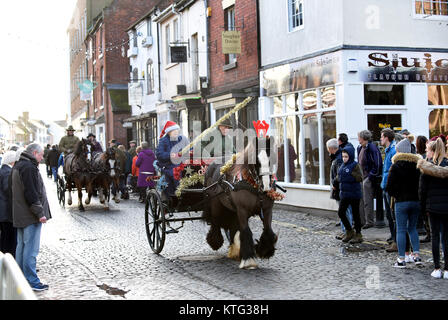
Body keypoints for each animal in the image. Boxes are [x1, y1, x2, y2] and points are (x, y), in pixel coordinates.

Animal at [204, 136, 280, 268]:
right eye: (256, 162)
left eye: (272, 160)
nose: (266, 187)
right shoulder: (242, 210)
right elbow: (246, 231)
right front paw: (248, 259)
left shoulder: (267, 209)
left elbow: (268, 230)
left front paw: (264, 250)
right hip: (216, 205)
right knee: (215, 221)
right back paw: (215, 241)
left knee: (232, 226)